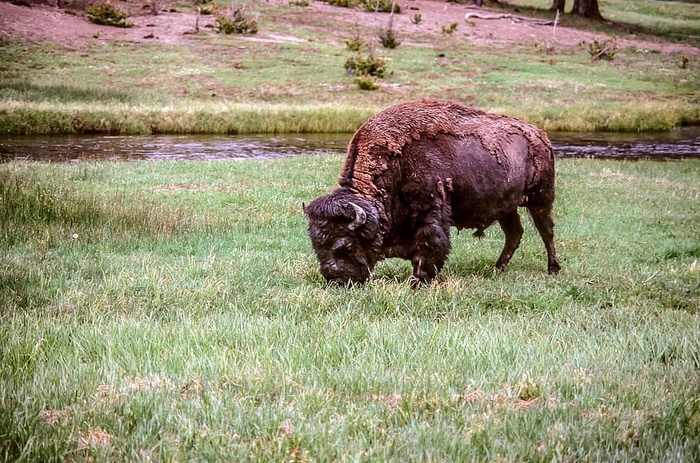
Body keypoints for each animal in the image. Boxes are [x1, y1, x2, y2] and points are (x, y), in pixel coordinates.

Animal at [304, 99, 560, 284]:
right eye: (316, 245)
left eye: (345, 246)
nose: (336, 281)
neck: (396, 164)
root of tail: (540, 135)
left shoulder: (431, 208)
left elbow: (430, 243)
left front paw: (420, 280)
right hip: (506, 208)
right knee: (514, 233)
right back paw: (497, 269)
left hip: (541, 198)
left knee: (546, 231)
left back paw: (553, 269)